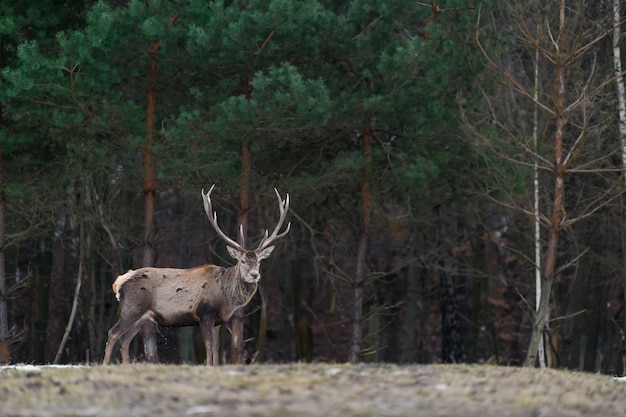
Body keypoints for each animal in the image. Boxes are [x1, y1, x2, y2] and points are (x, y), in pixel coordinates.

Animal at [101, 185, 288, 364]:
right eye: (242, 260)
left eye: (259, 261)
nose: (255, 275)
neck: (226, 299)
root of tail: (118, 283)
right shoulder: (204, 312)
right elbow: (209, 345)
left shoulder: (218, 320)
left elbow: (216, 348)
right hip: (132, 307)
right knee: (113, 333)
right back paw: (105, 364)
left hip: (141, 316)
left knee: (125, 339)